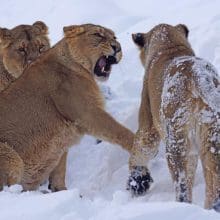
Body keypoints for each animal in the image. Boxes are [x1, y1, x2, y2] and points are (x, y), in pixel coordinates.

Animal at [0, 24, 134, 192]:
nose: (117, 47)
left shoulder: (62, 142)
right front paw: (141, 145)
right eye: (98, 35)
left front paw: (59, 191)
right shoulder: (87, 114)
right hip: (10, 155)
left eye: (114, 37)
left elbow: (59, 170)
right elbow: (119, 132)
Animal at [127, 23, 220, 211]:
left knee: (183, 187)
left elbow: (139, 151)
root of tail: (198, 75)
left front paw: (137, 181)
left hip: (176, 144)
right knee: (213, 189)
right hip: (211, 142)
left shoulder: (148, 126)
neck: (169, 47)